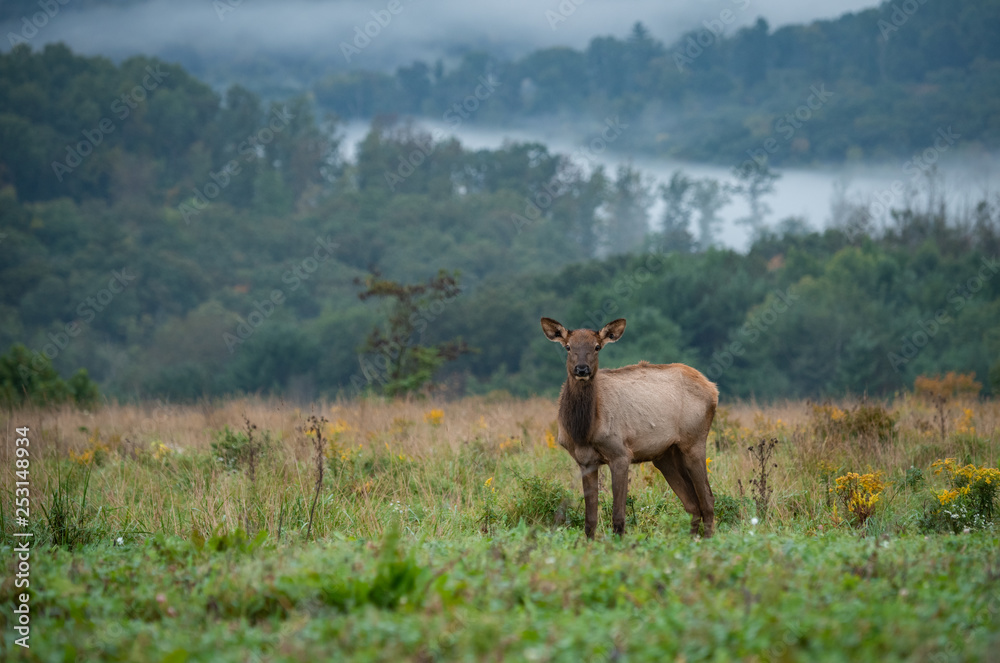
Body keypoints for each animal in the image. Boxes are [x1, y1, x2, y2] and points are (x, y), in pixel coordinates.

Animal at [540, 317, 718, 539]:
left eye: (597, 347)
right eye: (568, 346)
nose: (582, 369)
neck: (582, 430)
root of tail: (713, 389)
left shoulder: (620, 454)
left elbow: (618, 517)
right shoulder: (585, 461)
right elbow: (590, 520)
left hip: (694, 442)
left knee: (707, 499)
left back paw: (707, 540)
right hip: (666, 455)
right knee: (692, 504)